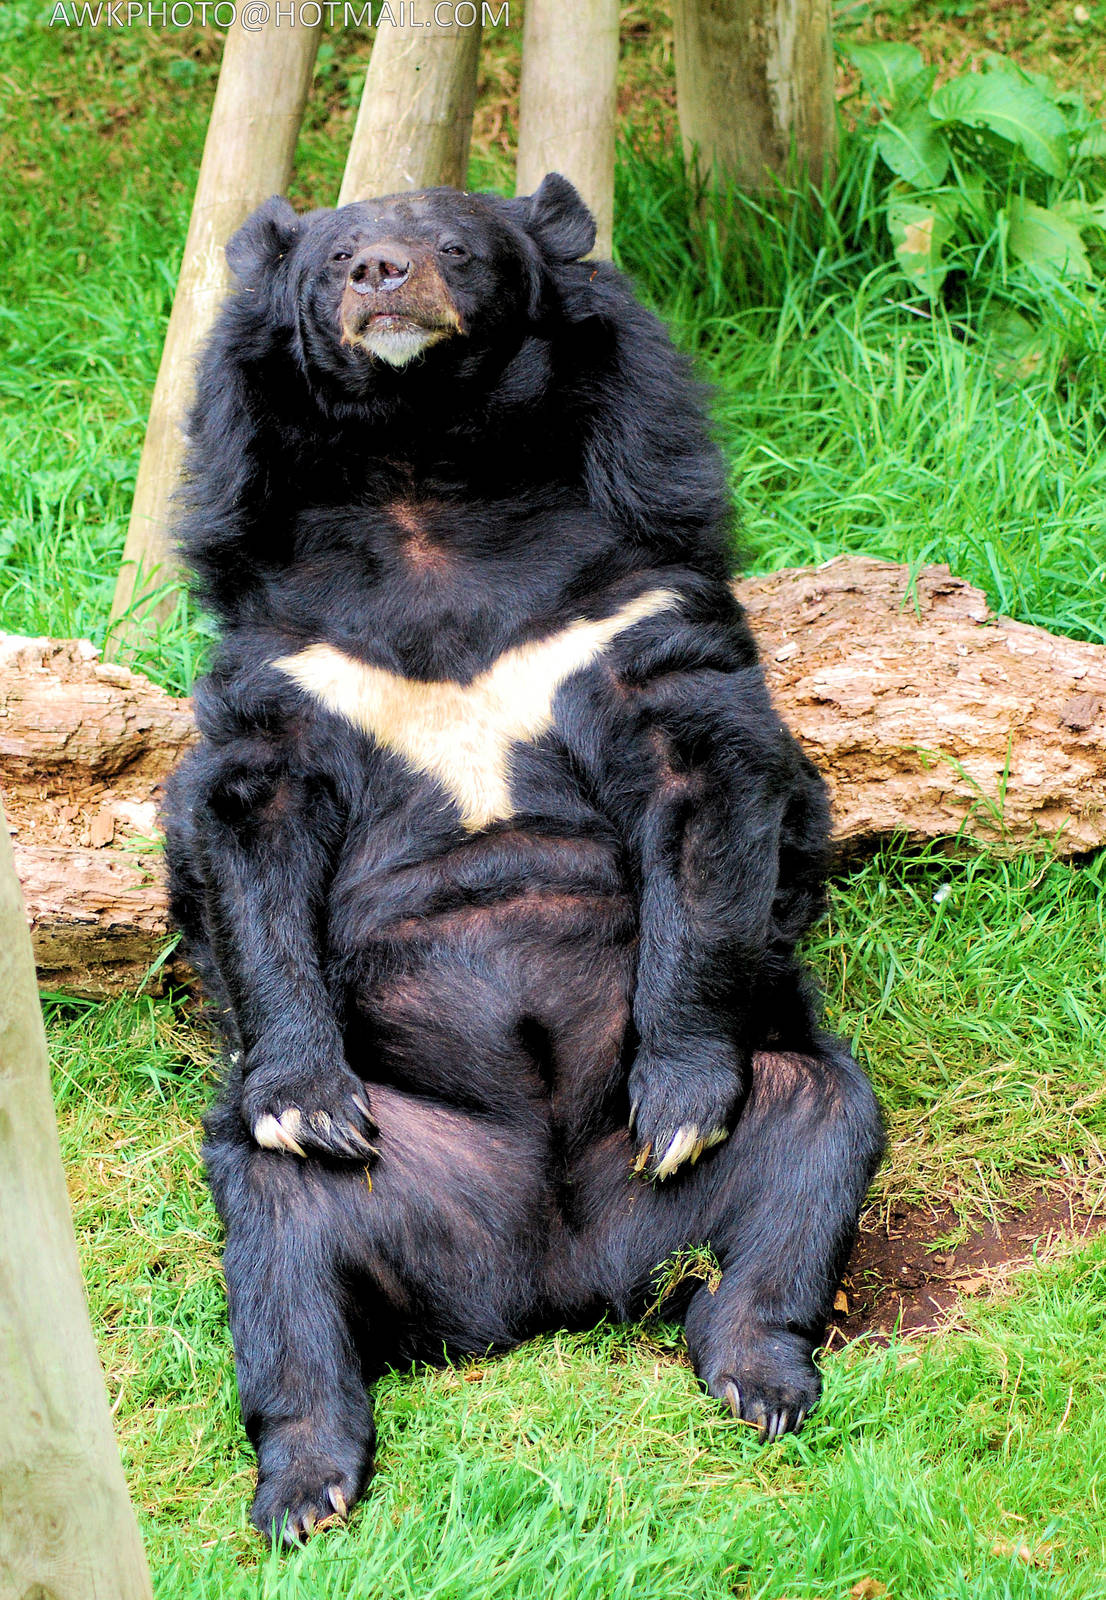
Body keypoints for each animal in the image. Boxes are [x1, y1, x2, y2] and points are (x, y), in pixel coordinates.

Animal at [161, 173, 885, 1545]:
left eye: (454, 246)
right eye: (333, 259)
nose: (382, 275)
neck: (427, 474)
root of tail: (543, 1280)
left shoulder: (632, 596)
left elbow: (702, 782)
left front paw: (677, 1102)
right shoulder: (285, 646)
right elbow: (246, 822)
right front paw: (304, 1095)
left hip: (768, 1124)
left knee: (810, 1150)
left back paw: (755, 1373)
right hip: (367, 1175)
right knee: (282, 1267)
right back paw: (304, 1489)